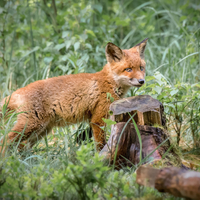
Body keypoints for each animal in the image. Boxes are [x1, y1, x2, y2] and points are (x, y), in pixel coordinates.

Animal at [0, 38, 147, 153]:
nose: (142, 81)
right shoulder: (98, 119)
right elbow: (101, 145)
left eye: (141, 68)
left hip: (40, 131)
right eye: (128, 69)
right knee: (5, 140)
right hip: (30, 126)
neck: (109, 82)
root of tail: (19, 90)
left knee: (20, 147)